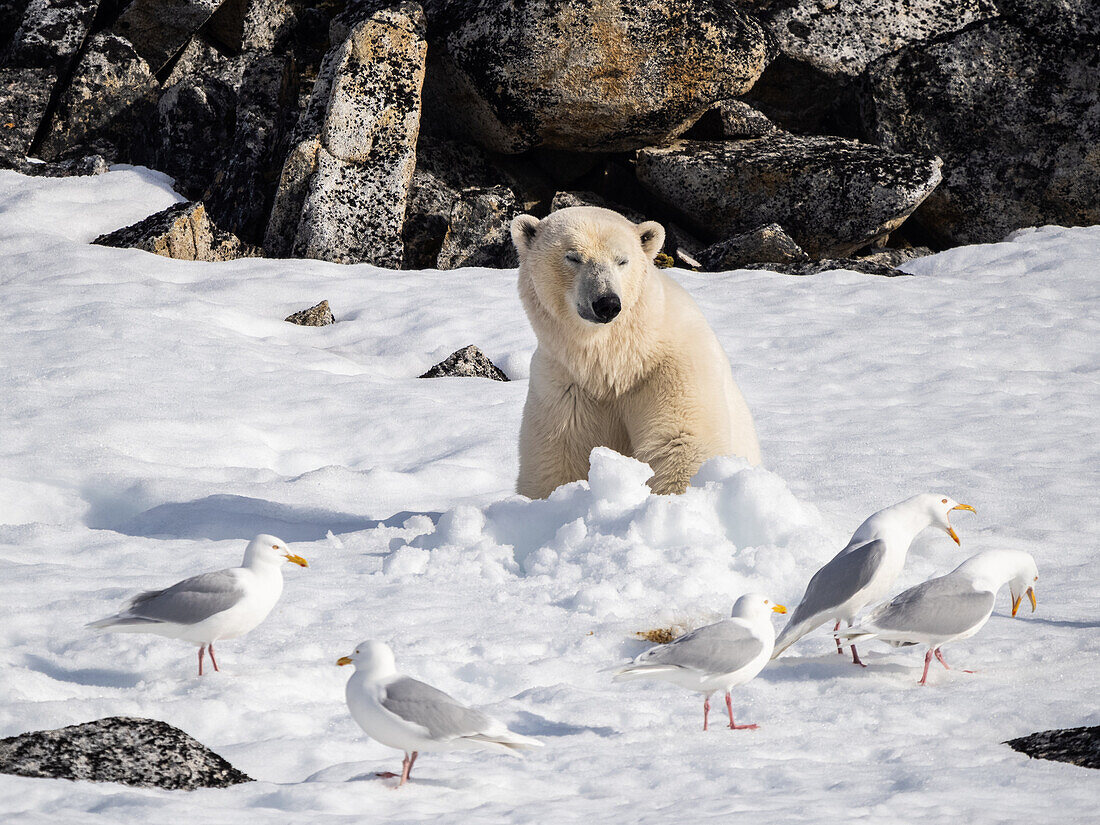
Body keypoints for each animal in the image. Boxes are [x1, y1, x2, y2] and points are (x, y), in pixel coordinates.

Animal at [510, 206, 761, 501]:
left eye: (622, 260)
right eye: (573, 257)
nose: (606, 303)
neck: (618, 360)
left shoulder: (670, 369)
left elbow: (680, 441)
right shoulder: (564, 385)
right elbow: (556, 458)